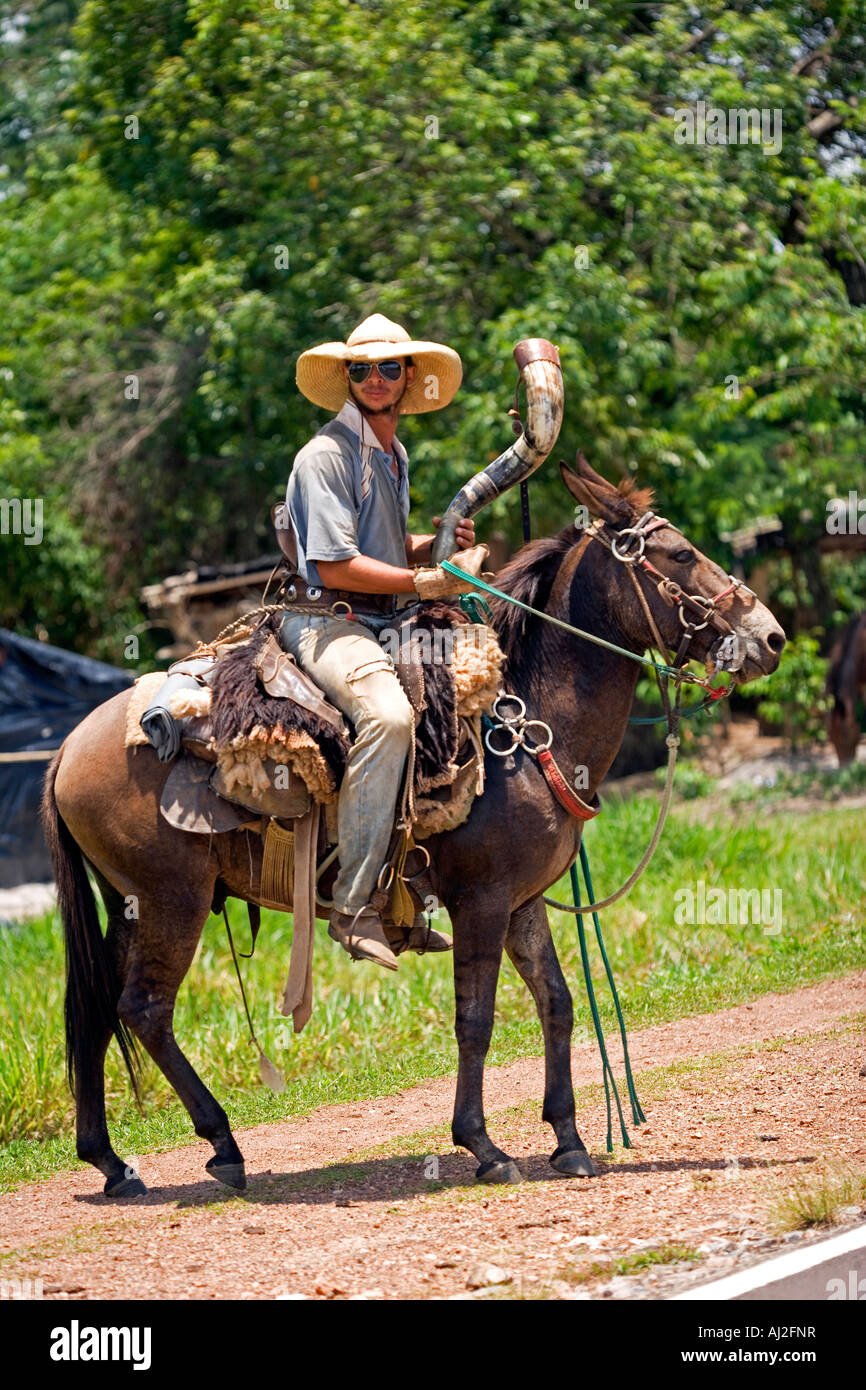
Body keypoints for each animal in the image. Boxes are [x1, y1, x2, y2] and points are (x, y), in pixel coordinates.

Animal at [40, 455, 783, 1195]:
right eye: (681, 554)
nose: (771, 636)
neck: (521, 721)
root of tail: (66, 749)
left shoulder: (523, 902)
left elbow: (558, 1001)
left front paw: (569, 1139)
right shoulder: (482, 901)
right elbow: (476, 1019)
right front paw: (483, 1145)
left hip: (128, 905)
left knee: (99, 1011)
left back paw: (111, 1163)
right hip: (174, 900)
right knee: (145, 1008)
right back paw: (222, 1145)